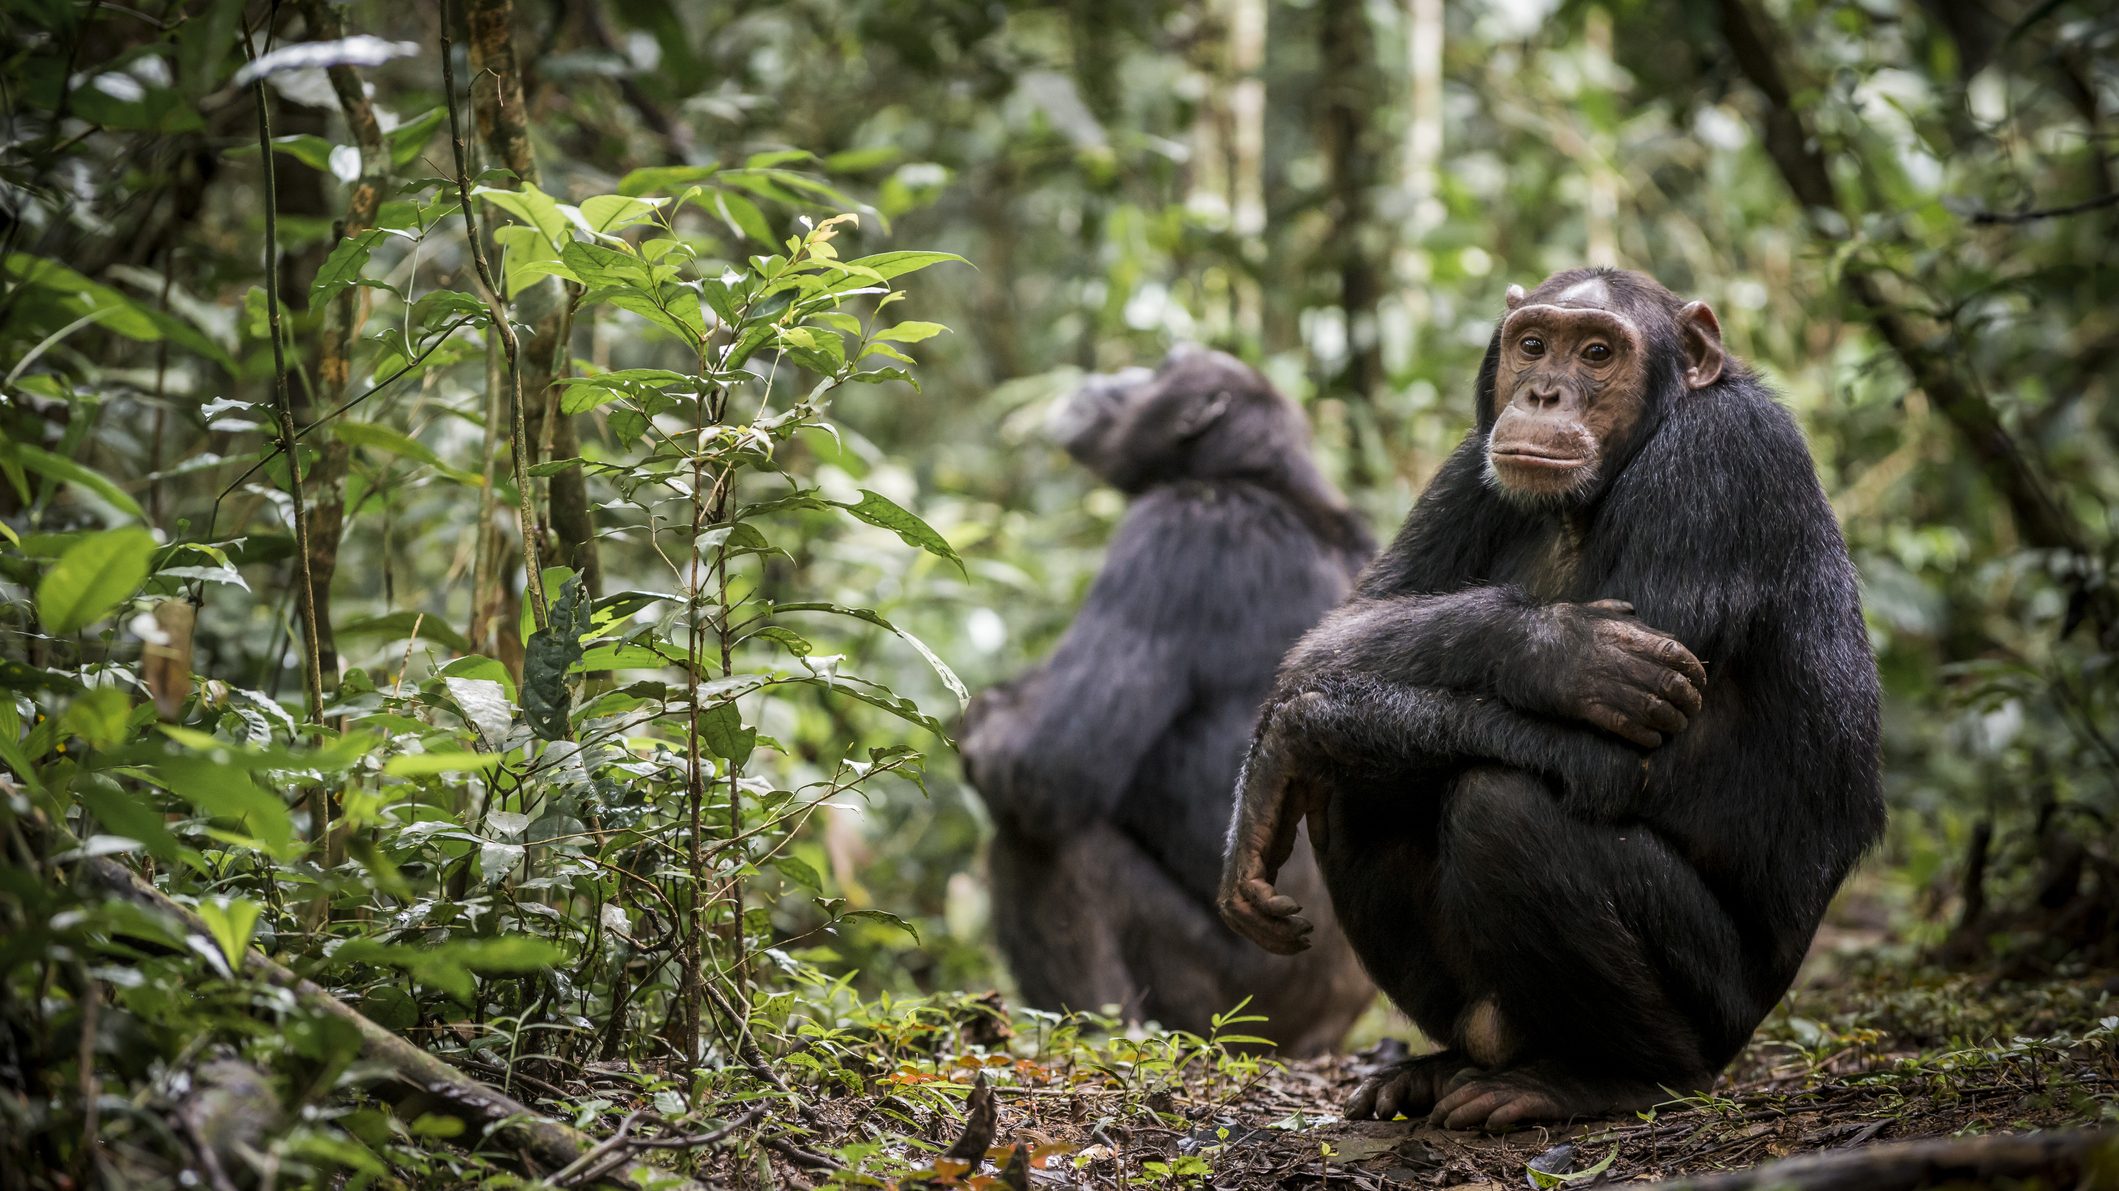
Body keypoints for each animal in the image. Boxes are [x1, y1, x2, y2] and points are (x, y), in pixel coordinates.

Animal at [962, 343, 1373, 1046]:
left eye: (1162, 367)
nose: (1120, 375)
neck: (1269, 483)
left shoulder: (1174, 532)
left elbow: (1044, 765)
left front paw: (985, 721)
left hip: (1233, 1004)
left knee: (1050, 844)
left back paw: (1102, 1032)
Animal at [1229, 267, 1890, 1118]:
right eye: (1534, 344)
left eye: (1598, 352)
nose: (1542, 392)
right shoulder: (1466, 465)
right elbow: (1349, 622)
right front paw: (1560, 653)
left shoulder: (1718, 460)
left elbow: (1612, 760)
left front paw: (1297, 729)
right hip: (1485, 1010)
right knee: (1357, 789)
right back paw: (1437, 1065)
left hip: (1719, 1011)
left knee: (1500, 806)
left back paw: (1601, 1076)